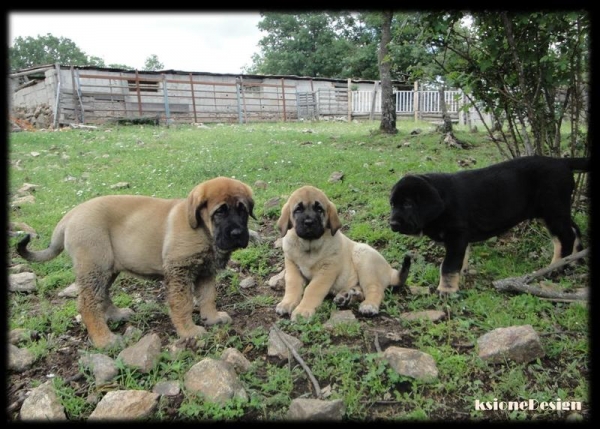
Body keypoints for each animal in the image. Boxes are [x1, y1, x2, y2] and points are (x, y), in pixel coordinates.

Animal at [15, 176, 255, 346]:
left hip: (107, 269)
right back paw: (105, 340)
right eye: (220, 212)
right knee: (87, 304)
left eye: (242, 210)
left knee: (102, 295)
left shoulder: (206, 272)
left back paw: (116, 315)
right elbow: (182, 303)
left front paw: (212, 318)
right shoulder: (179, 270)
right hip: (94, 266)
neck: (204, 232)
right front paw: (189, 331)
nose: (237, 234)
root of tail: (69, 216)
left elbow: (208, 297)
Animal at [278, 186, 412, 320]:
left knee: (375, 289)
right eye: (298, 209)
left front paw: (303, 310)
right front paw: (287, 303)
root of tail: (390, 270)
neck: (309, 246)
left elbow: (312, 289)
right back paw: (347, 296)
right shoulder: (292, 266)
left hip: (364, 259)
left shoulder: (327, 270)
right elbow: (293, 285)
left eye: (319, 209)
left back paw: (369, 305)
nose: (309, 222)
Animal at [390, 155, 592, 292]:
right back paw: (574, 260)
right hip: (556, 211)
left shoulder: (456, 235)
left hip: (552, 210)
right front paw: (461, 274)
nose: (392, 223)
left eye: (407, 204)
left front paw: (446, 290)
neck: (442, 202)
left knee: (565, 237)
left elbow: (448, 266)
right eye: (392, 204)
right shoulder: (461, 239)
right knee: (574, 229)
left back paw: (557, 266)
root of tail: (562, 162)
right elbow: (461, 259)